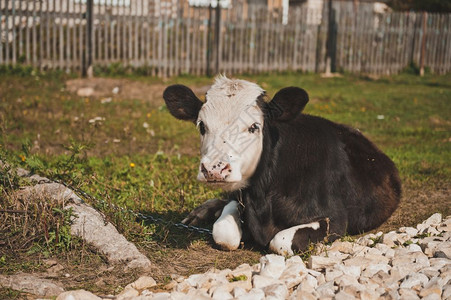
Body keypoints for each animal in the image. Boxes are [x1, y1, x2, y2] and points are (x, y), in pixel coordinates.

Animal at [163, 75, 402, 255]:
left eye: (254, 127)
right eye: (202, 126)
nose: (214, 169)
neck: (261, 200)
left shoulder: (335, 219)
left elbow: (281, 241)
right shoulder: (241, 197)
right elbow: (224, 233)